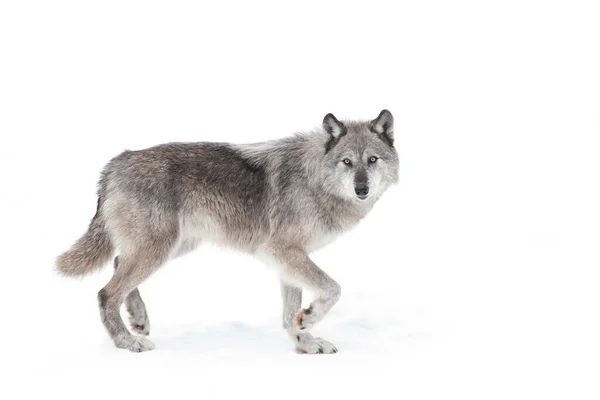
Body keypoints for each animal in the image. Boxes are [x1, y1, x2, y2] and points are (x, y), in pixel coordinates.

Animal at [57, 109, 398, 354]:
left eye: (372, 160)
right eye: (347, 162)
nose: (362, 189)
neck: (314, 177)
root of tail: (115, 163)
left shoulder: (287, 258)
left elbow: (290, 313)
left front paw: (306, 341)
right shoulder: (284, 251)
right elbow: (332, 288)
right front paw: (310, 319)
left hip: (173, 246)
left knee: (117, 265)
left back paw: (139, 320)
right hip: (159, 249)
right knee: (106, 293)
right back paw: (128, 342)